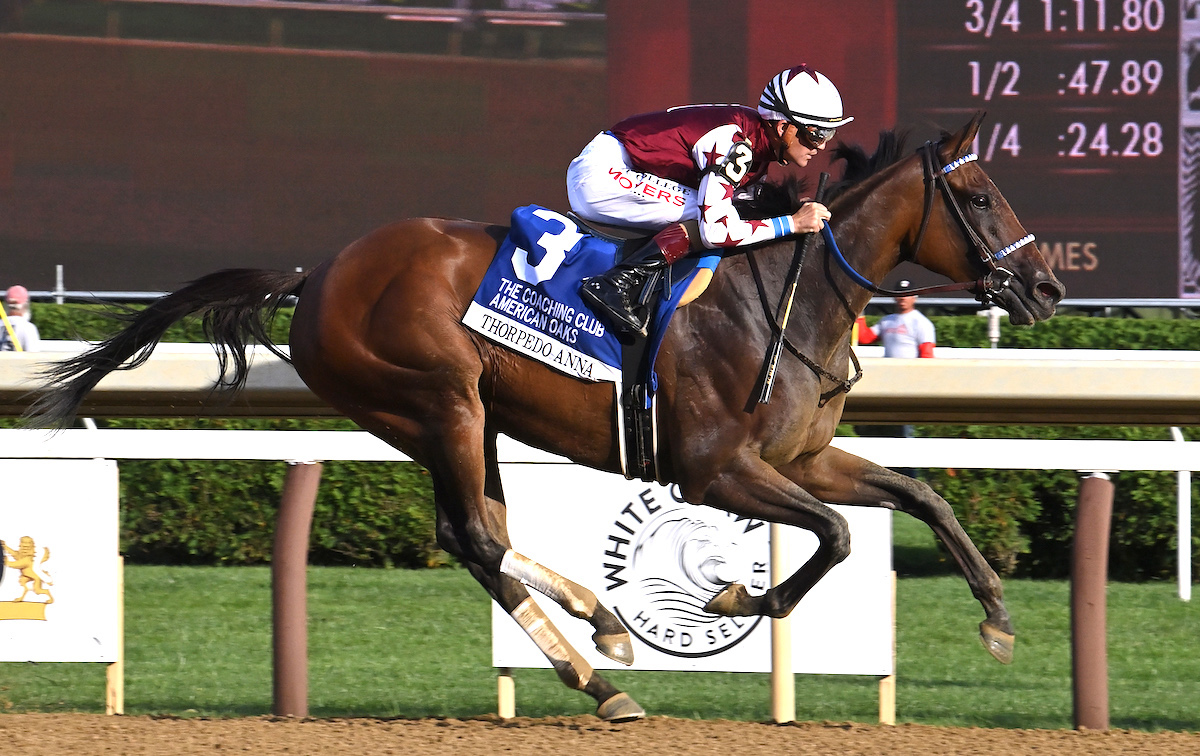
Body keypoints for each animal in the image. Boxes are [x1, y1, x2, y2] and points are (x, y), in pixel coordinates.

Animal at [30, 112, 1060, 724]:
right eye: (978, 196)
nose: (1046, 287)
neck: (783, 292)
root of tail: (314, 275)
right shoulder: (714, 469)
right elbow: (839, 537)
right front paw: (737, 599)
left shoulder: (801, 458)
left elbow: (920, 496)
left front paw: (998, 618)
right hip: (438, 398)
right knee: (481, 536)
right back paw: (601, 654)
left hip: (457, 419)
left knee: (474, 533)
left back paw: (599, 649)